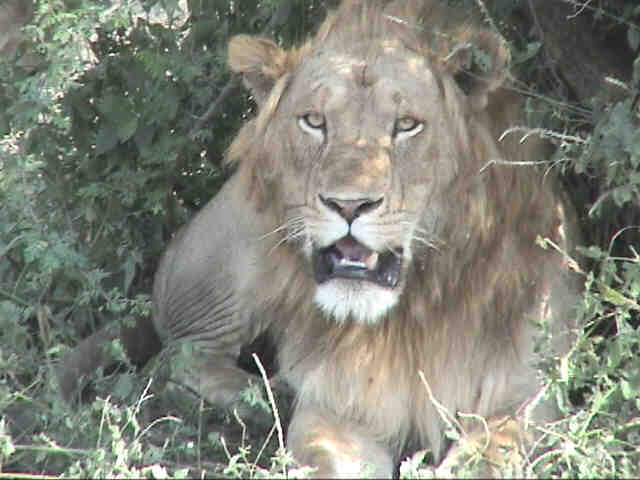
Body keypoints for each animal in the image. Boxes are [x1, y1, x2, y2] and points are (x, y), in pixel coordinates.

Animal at [58, 0, 580, 476]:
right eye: (314, 121)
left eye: (407, 125)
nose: (348, 205)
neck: (416, 306)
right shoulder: (339, 402)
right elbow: (326, 456)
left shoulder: (525, 392)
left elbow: (489, 457)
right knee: (177, 358)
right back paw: (265, 397)